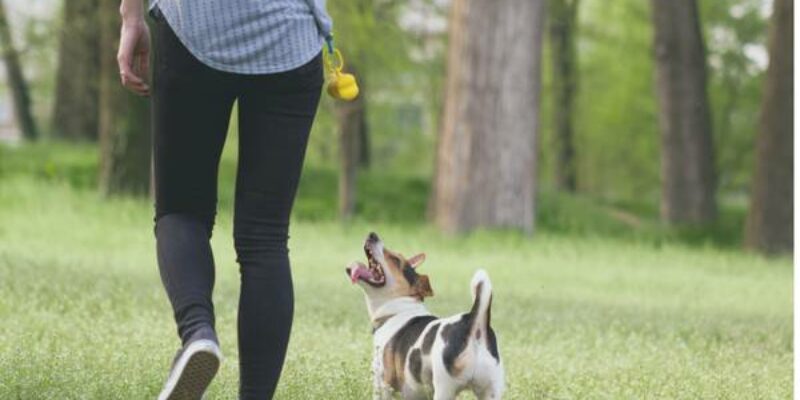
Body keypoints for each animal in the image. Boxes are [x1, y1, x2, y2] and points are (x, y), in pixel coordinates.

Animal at [344, 233, 506, 398]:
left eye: (396, 260)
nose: (372, 235)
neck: (397, 310)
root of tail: (474, 322)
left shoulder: (383, 384)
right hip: (490, 391)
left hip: (444, 388)